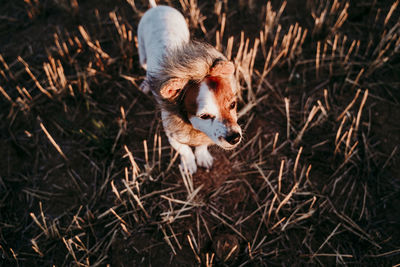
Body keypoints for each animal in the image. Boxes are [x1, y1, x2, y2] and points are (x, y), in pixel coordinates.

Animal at [138, 0, 242, 176]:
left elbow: (201, 146)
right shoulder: (173, 136)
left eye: (233, 105)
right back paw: (146, 84)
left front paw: (203, 157)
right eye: (204, 116)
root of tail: (156, 8)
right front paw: (189, 164)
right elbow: (185, 150)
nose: (234, 137)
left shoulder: (205, 136)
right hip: (142, 53)